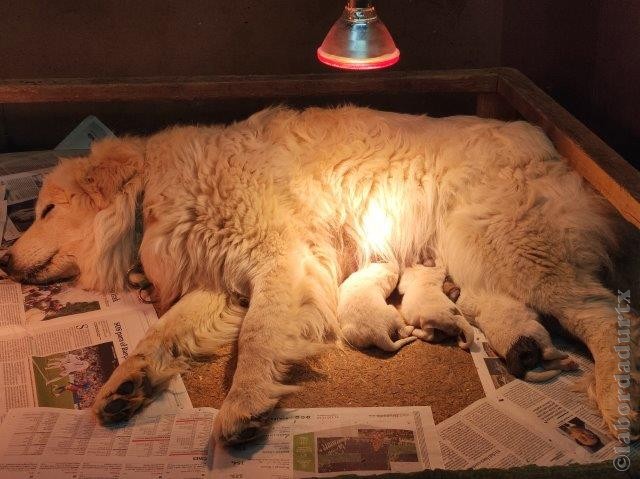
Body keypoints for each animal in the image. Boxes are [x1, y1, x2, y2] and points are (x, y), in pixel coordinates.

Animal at [2, 107, 636, 444]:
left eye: (47, 210)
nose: (4, 261)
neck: (153, 194)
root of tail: (547, 142)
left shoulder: (282, 262)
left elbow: (258, 338)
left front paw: (246, 403)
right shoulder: (221, 284)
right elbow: (159, 336)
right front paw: (126, 383)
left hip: (514, 254)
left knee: (606, 316)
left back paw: (614, 399)